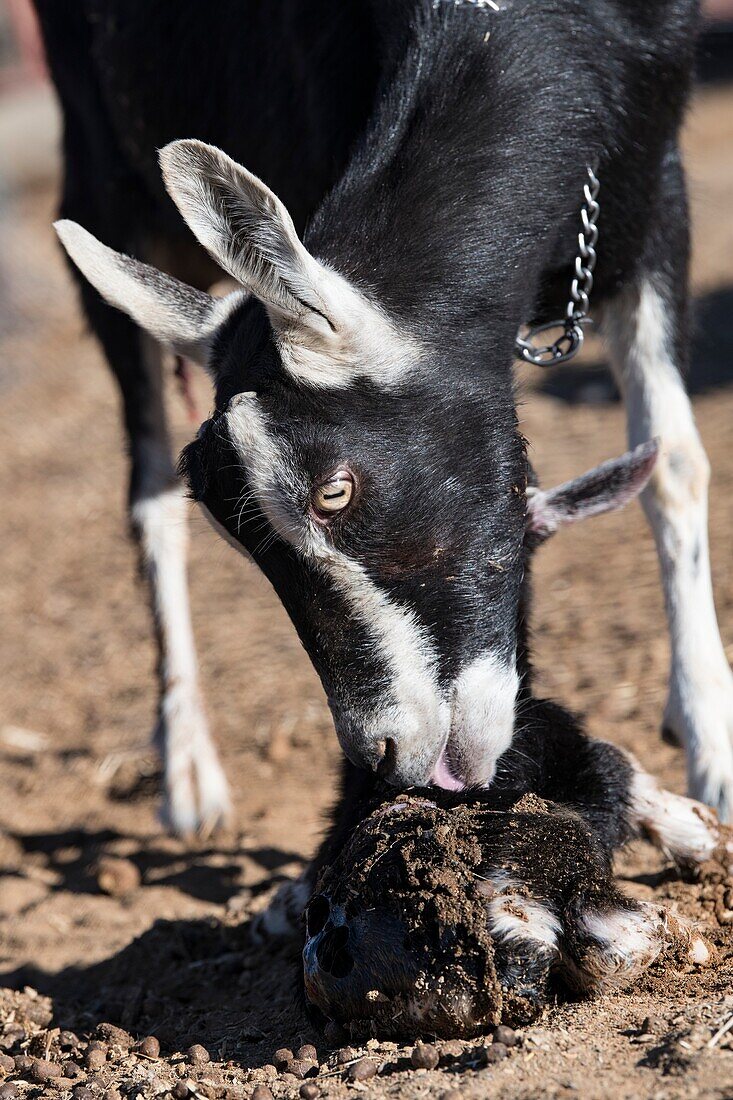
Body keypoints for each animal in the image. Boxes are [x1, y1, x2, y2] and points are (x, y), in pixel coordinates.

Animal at [35, 0, 730, 827]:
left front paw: (712, 752)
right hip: (98, 172)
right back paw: (187, 770)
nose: (386, 753)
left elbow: (673, 461)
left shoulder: (653, 192)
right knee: (147, 492)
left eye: (333, 492)